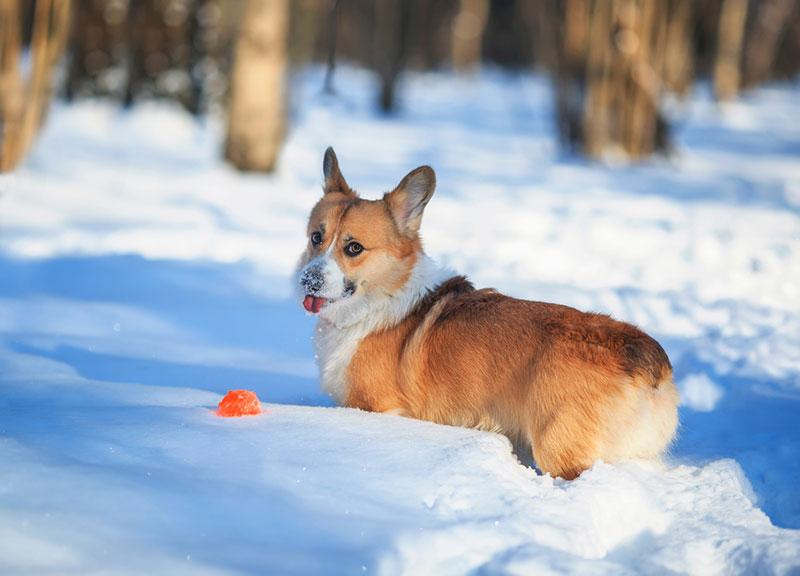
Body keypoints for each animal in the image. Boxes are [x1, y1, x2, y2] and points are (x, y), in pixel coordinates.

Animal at [296, 147, 680, 476]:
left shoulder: (378, 406)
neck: (380, 300)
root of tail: (648, 361)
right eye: (316, 237)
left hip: (557, 447)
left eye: (354, 248)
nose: (308, 280)